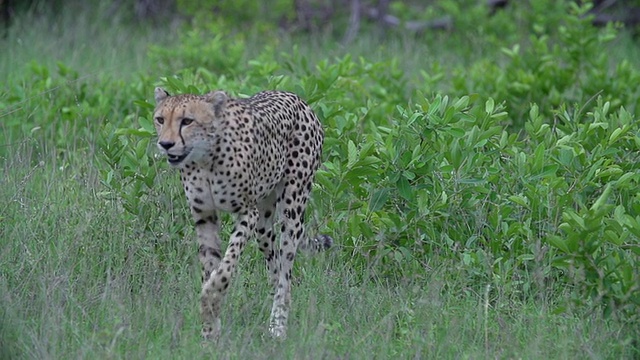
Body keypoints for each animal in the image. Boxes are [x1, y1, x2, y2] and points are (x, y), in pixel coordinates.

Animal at [150, 87, 330, 340]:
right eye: (160, 119)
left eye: (187, 121)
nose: (166, 144)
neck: (205, 159)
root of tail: (293, 96)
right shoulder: (204, 215)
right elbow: (210, 266)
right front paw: (210, 329)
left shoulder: (247, 213)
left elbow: (225, 268)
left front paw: (210, 298)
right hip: (264, 225)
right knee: (274, 270)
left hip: (292, 208)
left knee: (285, 276)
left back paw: (277, 327)